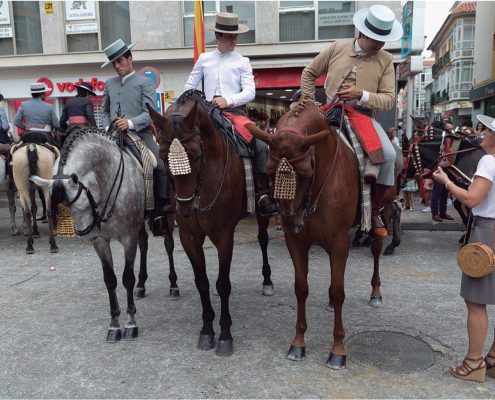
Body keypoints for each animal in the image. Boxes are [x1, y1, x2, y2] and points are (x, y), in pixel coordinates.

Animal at [31, 128, 178, 340]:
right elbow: (110, 280)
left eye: (83, 202)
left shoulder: (128, 238)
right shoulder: (101, 242)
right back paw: (141, 286)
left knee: (169, 246)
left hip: (169, 215)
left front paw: (130, 323)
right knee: (144, 244)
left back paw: (174, 285)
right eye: (66, 207)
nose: (86, 235)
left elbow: (127, 278)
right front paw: (114, 325)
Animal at [147, 91, 274, 356]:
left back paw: (268, 281)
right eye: (163, 155)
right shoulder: (189, 237)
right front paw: (207, 331)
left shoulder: (224, 234)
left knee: (263, 240)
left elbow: (223, 284)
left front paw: (225, 335)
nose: (186, 207)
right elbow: (202, 282)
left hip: (262, 213)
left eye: (196, 153)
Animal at [250, 101, 394, 370]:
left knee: (376, 250)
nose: (289, 222)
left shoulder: (339, 243)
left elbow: (338, 292)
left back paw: (376, 293)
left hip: (385, 211)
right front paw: (298, 342)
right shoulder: (297, 242)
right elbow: (301, 288)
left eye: (306, 171)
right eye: (269, 170)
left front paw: (337, 349)